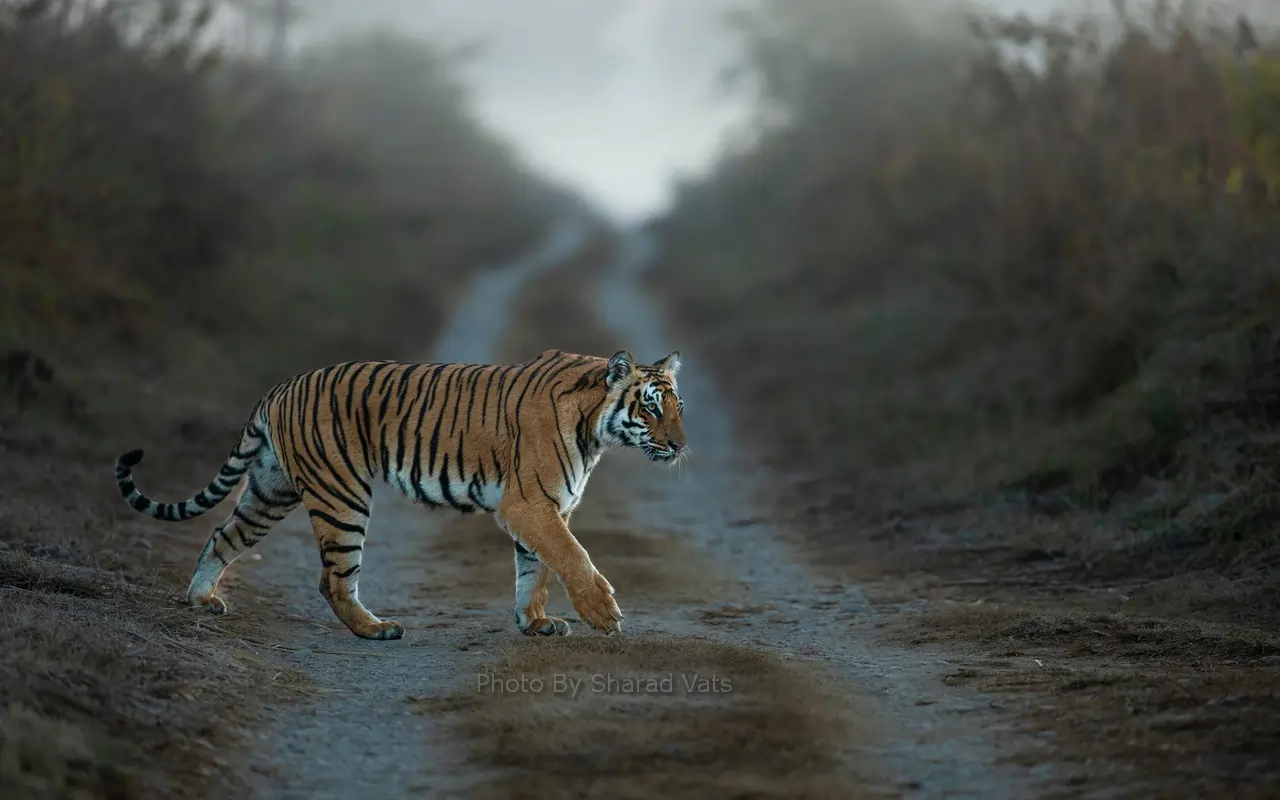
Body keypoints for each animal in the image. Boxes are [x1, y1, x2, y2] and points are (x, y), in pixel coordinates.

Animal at [114, 348, 686, 640]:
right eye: (651, 407)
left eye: (678, 407)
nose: (681, 445)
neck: (595, 430)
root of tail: (280, 387)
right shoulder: (528, 504)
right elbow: (571, 556)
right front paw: (603, 614)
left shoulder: (545, 508)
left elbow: (536, 570)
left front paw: (536, 622)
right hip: (342, 496)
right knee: (333, 579)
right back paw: (376, 628)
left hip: (270, 491)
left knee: (222, 535)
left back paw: (202, 600)